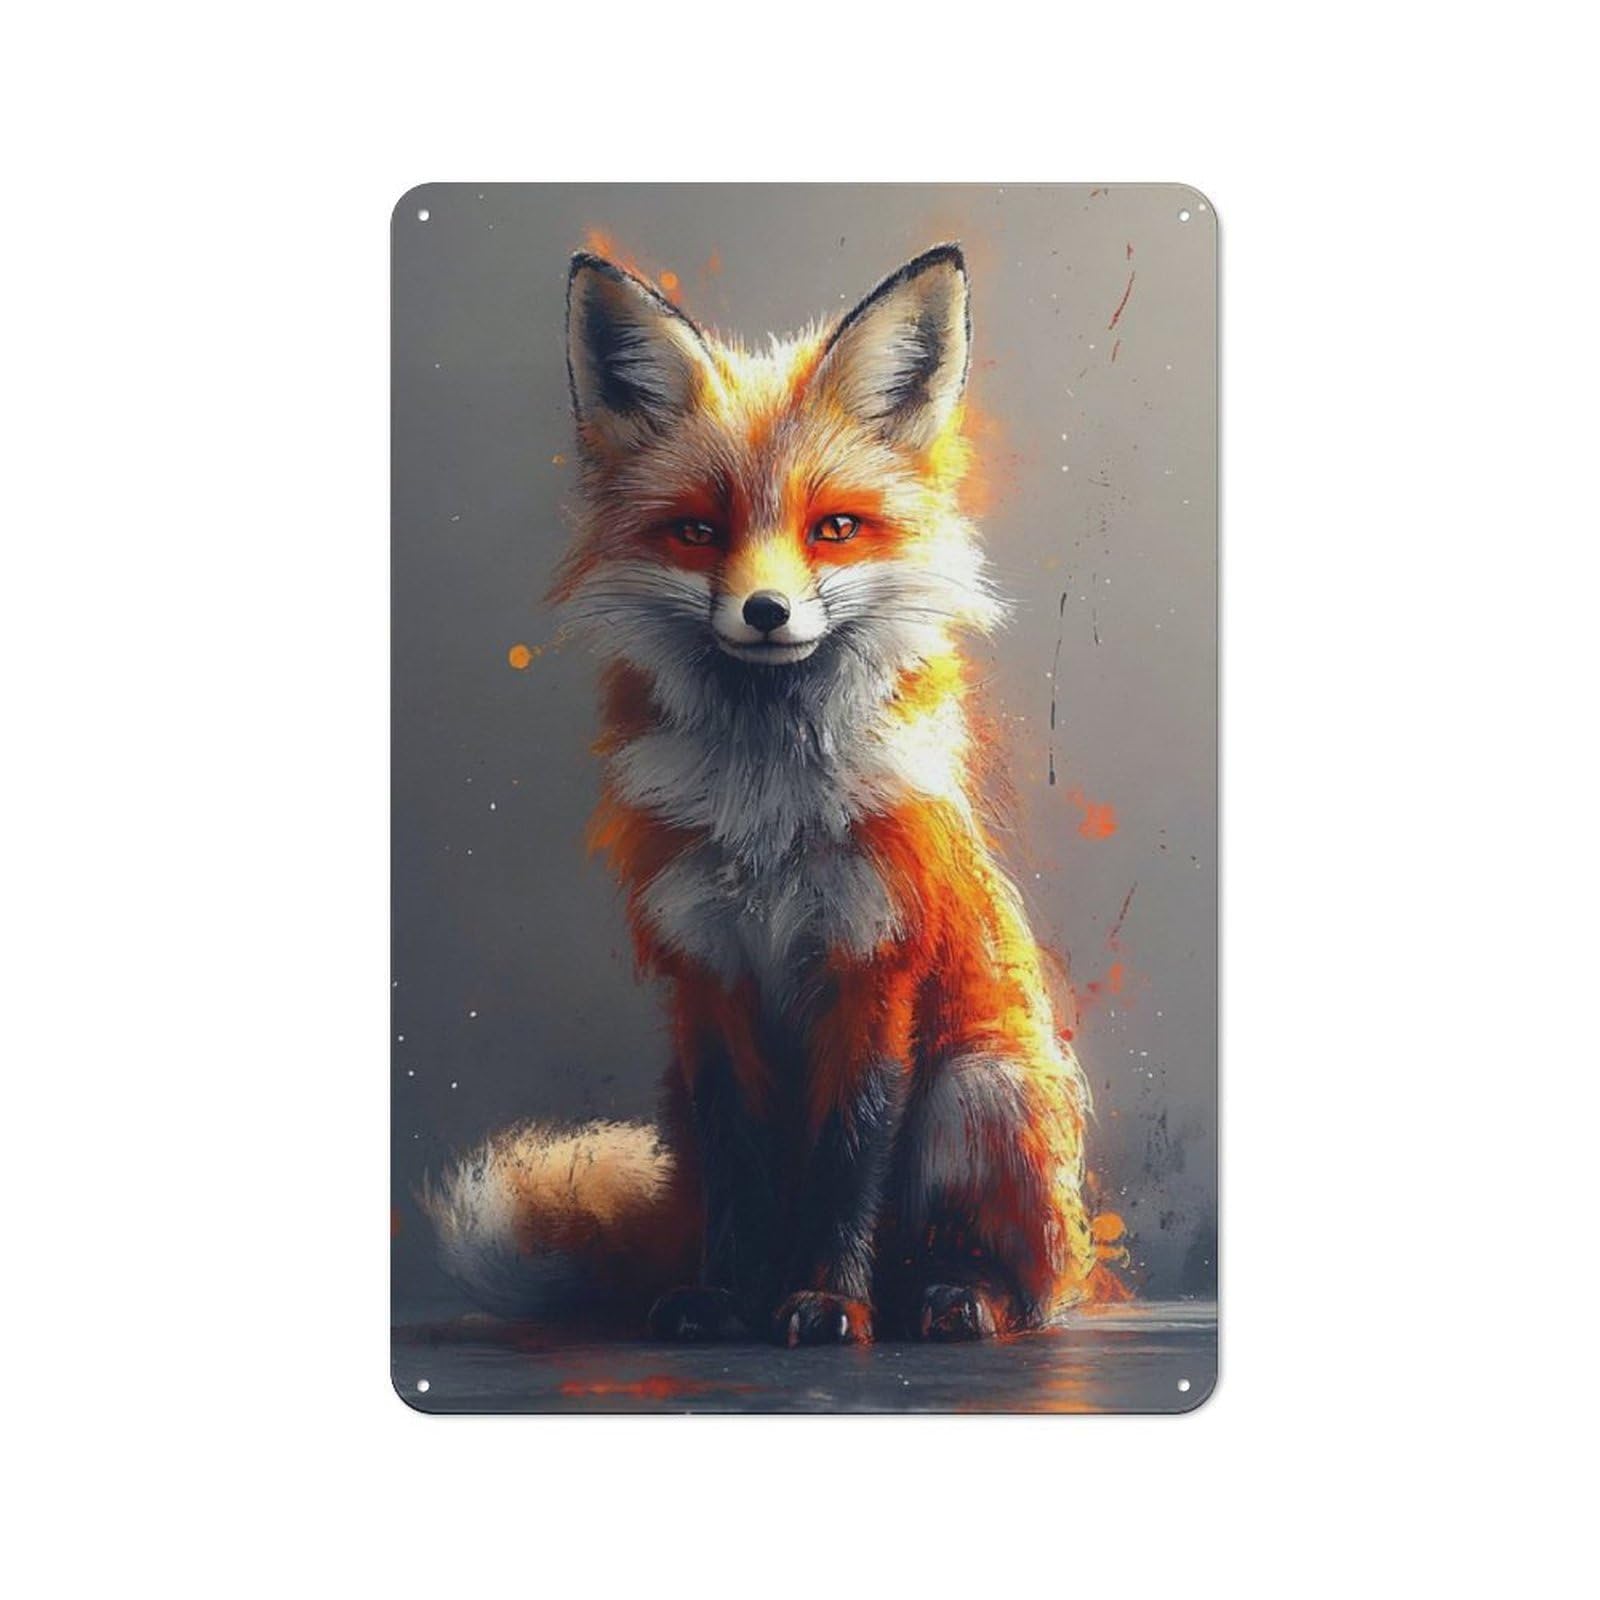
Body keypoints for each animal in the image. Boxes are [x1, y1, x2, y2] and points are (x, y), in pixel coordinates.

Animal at [423, 243, 1100, 1344]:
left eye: (834, 528)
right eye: (699, 531)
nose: (768, 610)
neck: (771, 817)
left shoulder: (875, 960)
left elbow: (847, 1160)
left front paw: (828, 1300)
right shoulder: (708, 972)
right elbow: (745, 1166)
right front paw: (727, 1299)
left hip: (979, 1091)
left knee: (1029, 1280)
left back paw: (954, 1294)